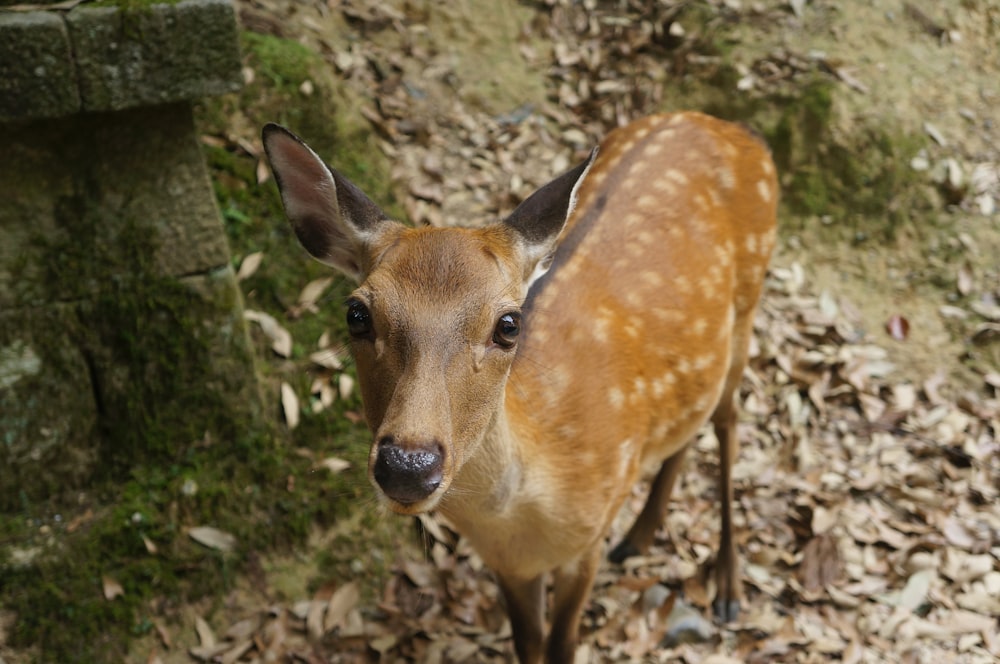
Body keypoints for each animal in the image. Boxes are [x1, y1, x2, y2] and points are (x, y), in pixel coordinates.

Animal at [266, 111, 780, 660]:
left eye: (509, 324)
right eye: (357, 313)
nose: (407, 467)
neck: (521, 517)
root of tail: (737, 129)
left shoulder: (587, 541)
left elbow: (561, 645)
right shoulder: (509, 566)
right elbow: (527, 645)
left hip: (748, 309)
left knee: (728, 420)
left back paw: (728, 586)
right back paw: (640, 536)